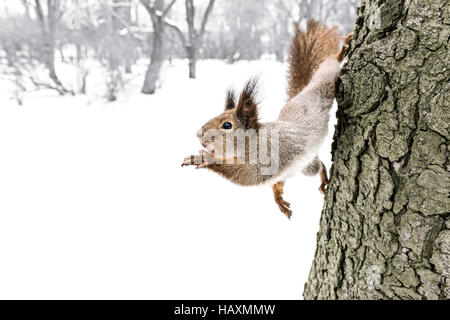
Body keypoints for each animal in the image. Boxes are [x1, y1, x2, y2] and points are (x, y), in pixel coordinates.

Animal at [181, 20, 354, 220]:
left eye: (227, 125)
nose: (199, 135)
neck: (251, 144)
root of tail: (299, 96)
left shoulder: (270, 155)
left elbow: (248, 176)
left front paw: (203, 158)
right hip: (304, 167)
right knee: (316, 167)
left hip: (321, 90)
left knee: (325, 74)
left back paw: (341, 53)